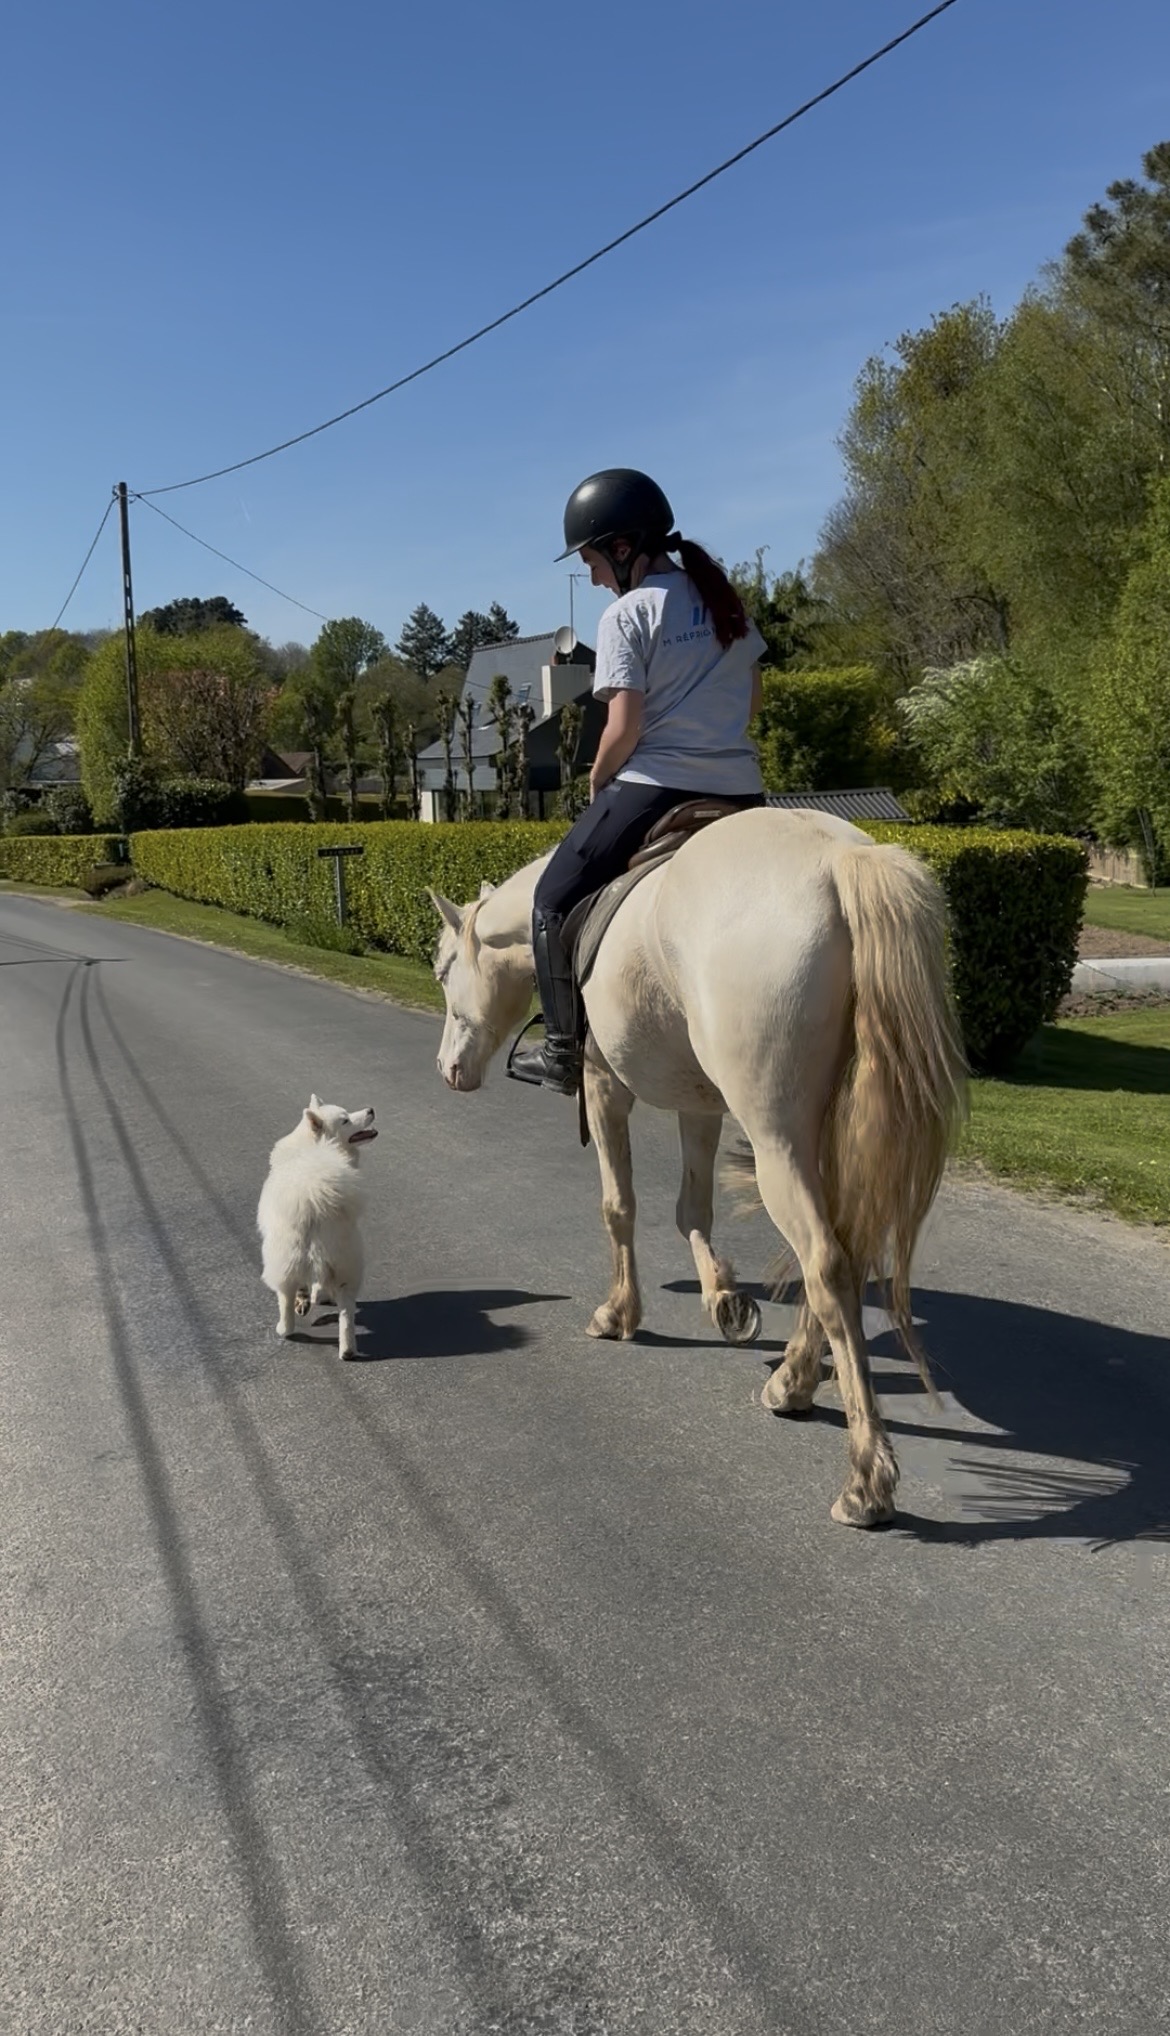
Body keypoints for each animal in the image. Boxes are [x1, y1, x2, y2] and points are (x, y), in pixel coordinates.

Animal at [429, 806, 967, 1527]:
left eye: (442, 970)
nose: (449, 1069)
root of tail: (838, 859)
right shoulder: (699, 1104)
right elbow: (693, 1207)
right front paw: (724, 1300)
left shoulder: (604, 1086)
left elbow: (619, 1206)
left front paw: (619, 1313)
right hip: (827, 1131)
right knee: (842, 1256)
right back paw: (792, 1383)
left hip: (776, 1140)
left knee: (826, 1265)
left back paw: (865, 1479)